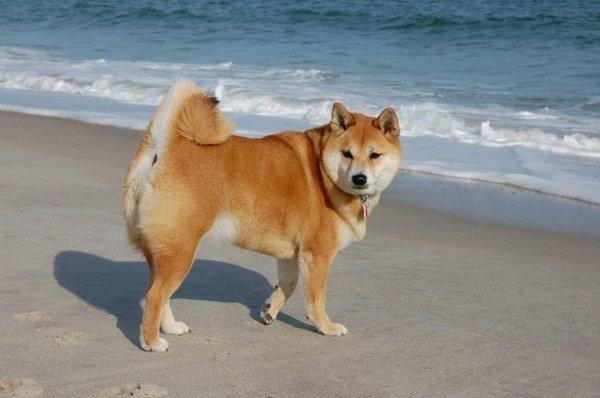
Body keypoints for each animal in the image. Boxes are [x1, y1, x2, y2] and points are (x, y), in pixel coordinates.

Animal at [122, 80, 404, 352]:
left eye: (374, 155)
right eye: (347, 153)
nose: (359, 179)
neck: (323, 172)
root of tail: (166, 146)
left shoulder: (293, 254)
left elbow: (288, 285)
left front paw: (270, 310)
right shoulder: (317, 255)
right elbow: (316, 300)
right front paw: (327, 327)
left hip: (162, 253)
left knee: (157, 293)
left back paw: (170, 327)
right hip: (180, 251)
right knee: (155, 296)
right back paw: (151, 342)